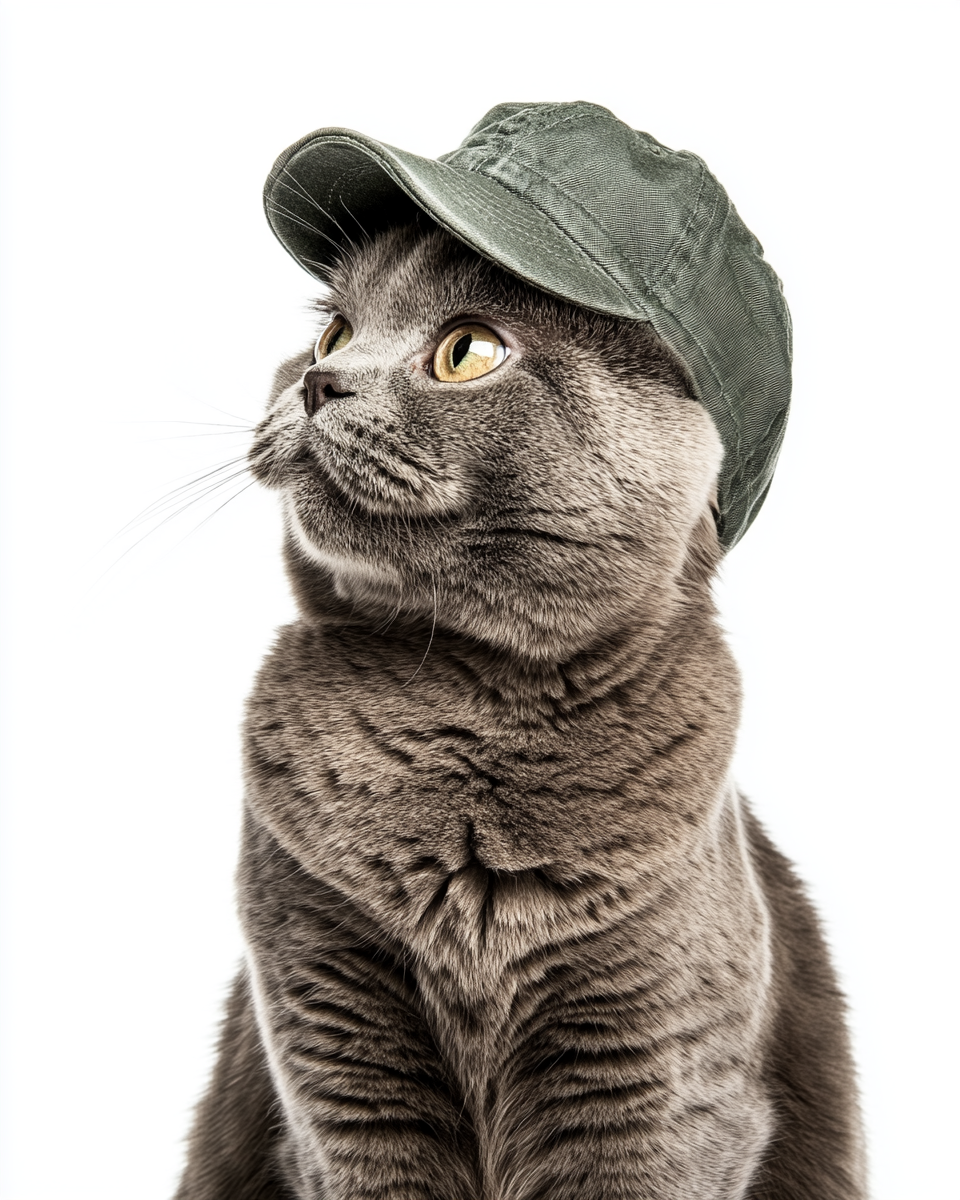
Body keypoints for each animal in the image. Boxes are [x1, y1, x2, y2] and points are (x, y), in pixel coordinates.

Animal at [174, 220, 868, 1195]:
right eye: (334, 333)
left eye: (467, 351)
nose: (318, 381)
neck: (462, 696)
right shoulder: (329, 1031)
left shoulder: (655, 1078)